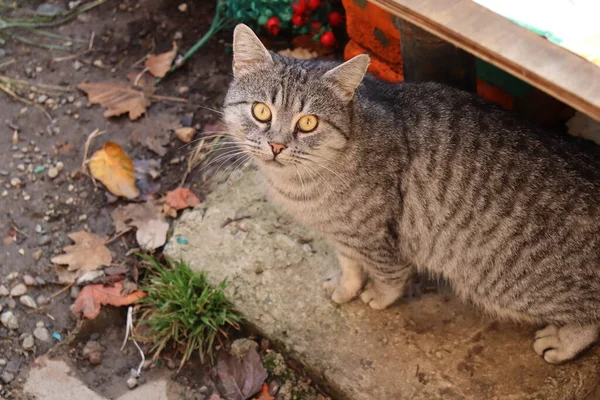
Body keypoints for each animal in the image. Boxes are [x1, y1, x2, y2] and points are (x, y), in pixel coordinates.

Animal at [223, 23, 600, 364]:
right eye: (261, 111)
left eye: (308, 123)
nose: (276, 145)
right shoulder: (344, 234)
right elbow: (349, 266)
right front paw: (346, 287)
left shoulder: (376, 235)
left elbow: (389, 274)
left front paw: (378, 295)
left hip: (503, 282)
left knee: (591, 317)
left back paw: (562, 343)